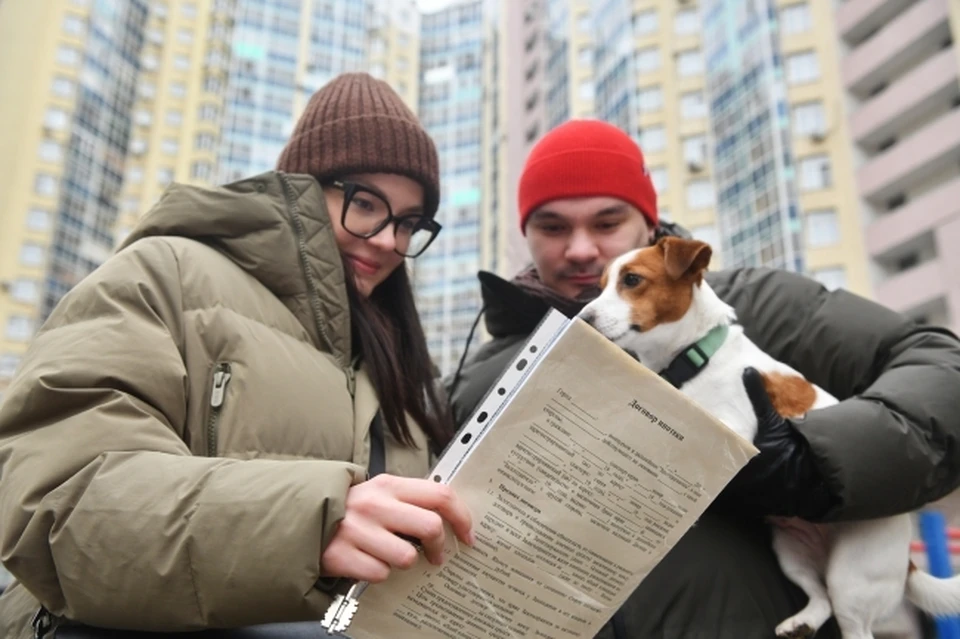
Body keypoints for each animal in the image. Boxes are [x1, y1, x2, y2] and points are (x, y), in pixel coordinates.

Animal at [576, 238, 960, 636]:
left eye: (632, 280)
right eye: (600, 285)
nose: (582, 318)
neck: (693, 357)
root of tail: (907, 556)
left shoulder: (735, 429)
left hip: (852, 577)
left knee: (852, 620)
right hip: (791, 551)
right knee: (819, 598)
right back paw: (802, 623)